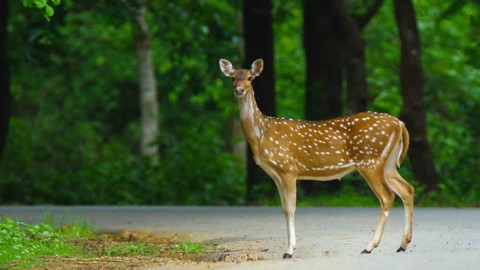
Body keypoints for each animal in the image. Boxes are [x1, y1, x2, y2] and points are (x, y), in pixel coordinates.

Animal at [219, 58, 414, 258]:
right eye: (232, 77)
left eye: (250, 78)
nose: (239, 90)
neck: (261, 134)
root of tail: (400, 124)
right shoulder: (276, 175)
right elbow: (284, 209)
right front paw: (290, 247)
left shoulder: (288, 169)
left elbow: (291, 209)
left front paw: (289, 250)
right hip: (388, 164)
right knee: (407, 189)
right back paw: (402, 244)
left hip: (370, 162)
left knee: (388, 197)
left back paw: (370, 246)